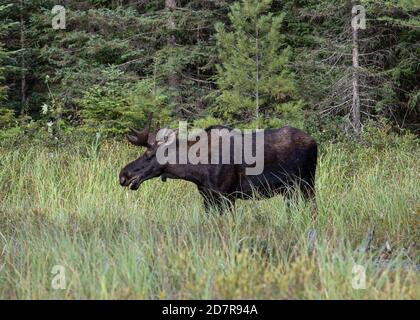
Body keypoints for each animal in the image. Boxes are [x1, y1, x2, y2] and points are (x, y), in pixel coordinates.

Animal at [120, 114, 316, 214]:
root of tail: (314, 142)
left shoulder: (227, 195)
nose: (123, 175)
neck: (196, 172)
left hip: (307, 184)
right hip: (290, 191)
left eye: (149, 154)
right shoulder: (207, 197)